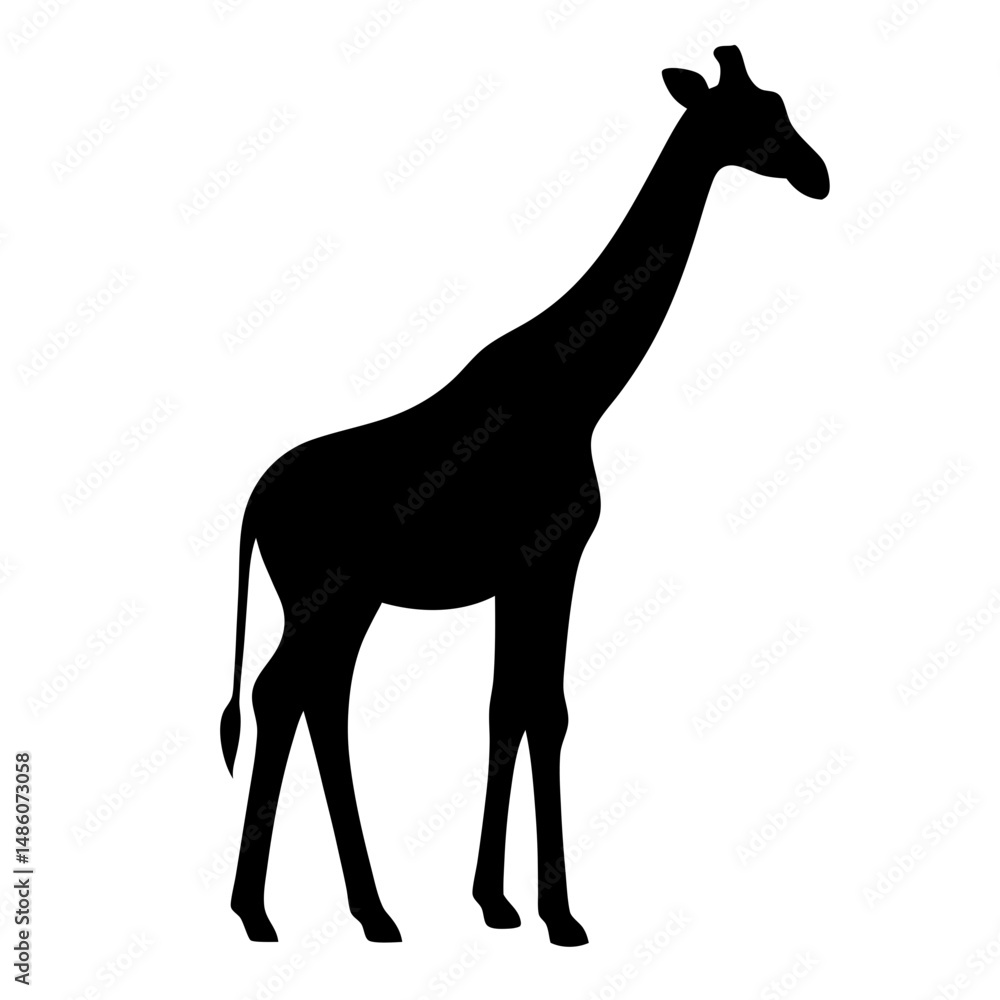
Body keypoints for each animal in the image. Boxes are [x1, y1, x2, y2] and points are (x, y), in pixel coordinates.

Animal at [220, 45, 829, 947]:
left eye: (781, 104)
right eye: (751, 117)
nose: (816, 174)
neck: (582, 388)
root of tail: (255, 502)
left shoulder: (530, 570)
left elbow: (514, 708)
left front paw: (500, 903)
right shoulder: (548, 559)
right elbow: (542, 709)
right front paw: (556, 914)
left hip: (344, 601)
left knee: (315, 699)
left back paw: (367, 911)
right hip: (326, 595)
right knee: (281, 693)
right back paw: (261, 912)